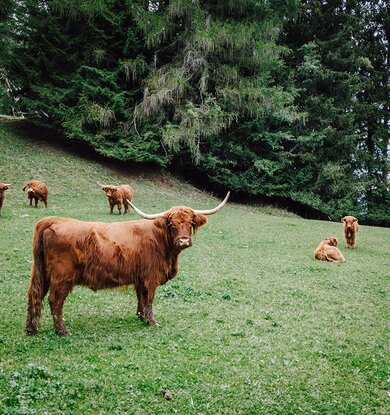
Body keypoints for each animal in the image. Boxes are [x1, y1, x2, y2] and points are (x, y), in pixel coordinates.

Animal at [25, 193, 229, 336]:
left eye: (190, 222)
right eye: (172, 224)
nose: (184, 241)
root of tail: (52, 220)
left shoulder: (140, 278)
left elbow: (141, 298)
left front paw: (141, 317)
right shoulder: (151, 277)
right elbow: (149, 299)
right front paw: (152, 321)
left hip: (42, 274)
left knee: (35, 295)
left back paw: (31, 329)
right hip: (62, 277)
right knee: (54, 301)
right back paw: (63, 331)